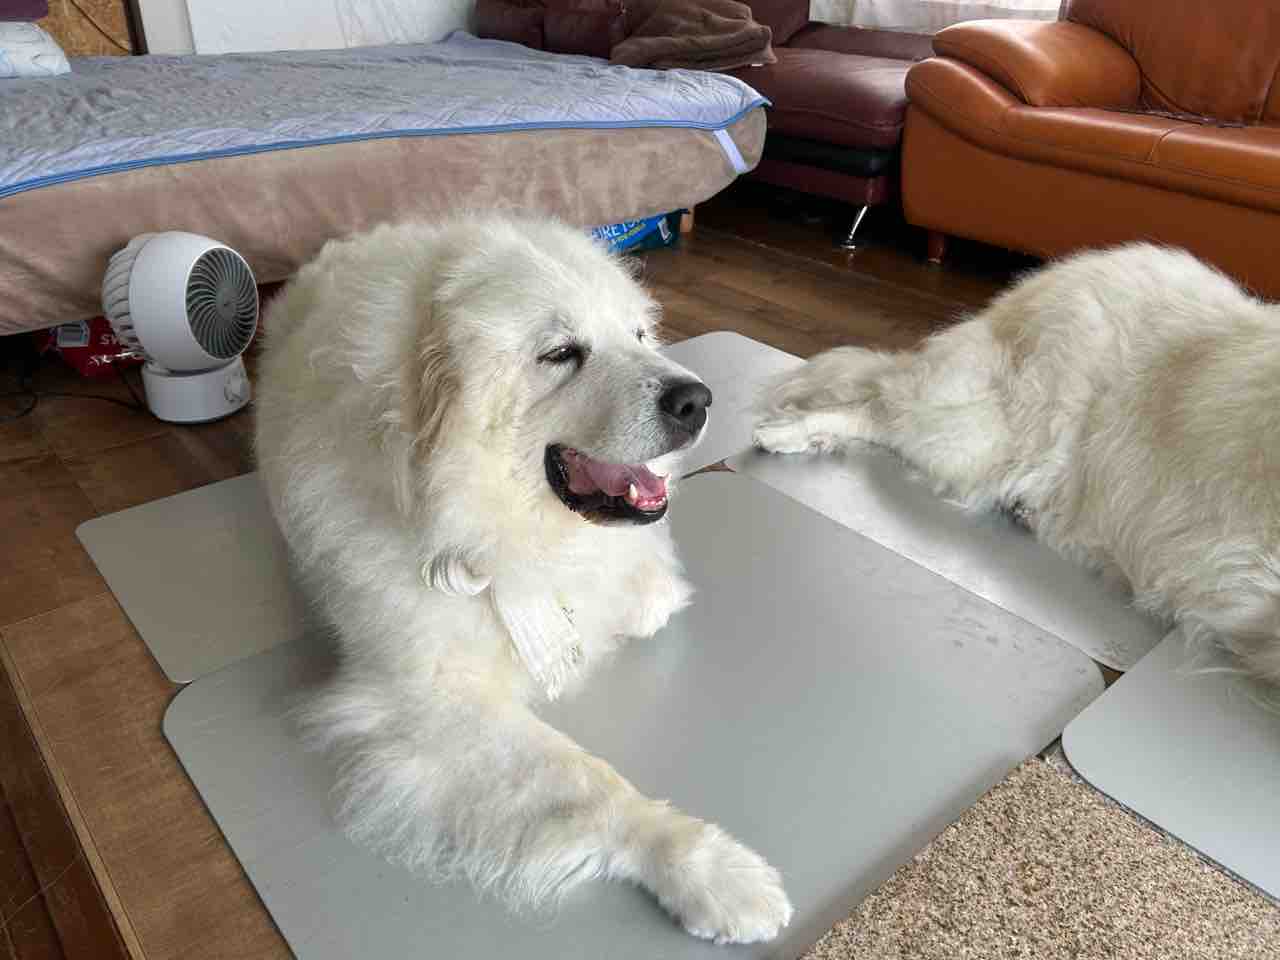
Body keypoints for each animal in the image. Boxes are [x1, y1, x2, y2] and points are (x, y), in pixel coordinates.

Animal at [253, 214, 793, 944]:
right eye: (562, 353)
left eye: (638, 335)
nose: (697, 399)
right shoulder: (435, 703)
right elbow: (593, 783)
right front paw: (709, 868)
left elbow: (641, 593)